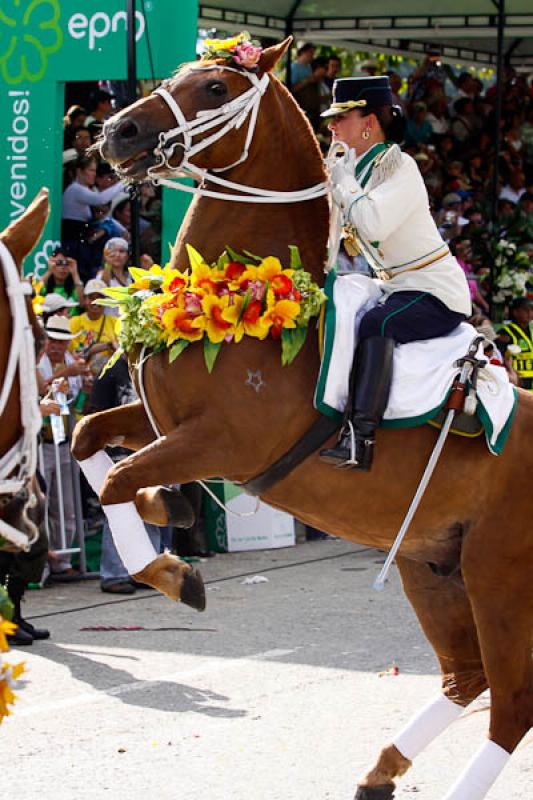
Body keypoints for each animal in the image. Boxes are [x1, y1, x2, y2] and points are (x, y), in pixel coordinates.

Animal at [71, 40, 532, 800]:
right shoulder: (161, 421)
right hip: (432, 564)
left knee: (510, 704)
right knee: (464, 678)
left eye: (215, 86)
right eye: (178, 75)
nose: (117, 133)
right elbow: (89, 441)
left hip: (499, 578)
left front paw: (174, 567)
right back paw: (380, 771)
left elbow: (116, 483)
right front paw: (173, 513)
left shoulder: (220, 442)